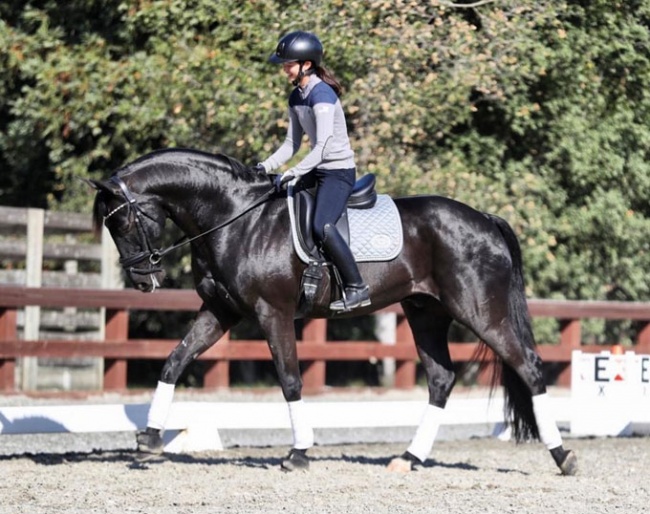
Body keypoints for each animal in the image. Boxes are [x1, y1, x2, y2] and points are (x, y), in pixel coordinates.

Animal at [88, 147, 576, 472]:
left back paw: (563, 457)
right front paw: (149, 437)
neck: (234, 218)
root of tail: (484, 220)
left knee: (529, 367)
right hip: (426, 312)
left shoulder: (273, 313)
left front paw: (299, 453)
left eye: (124, 220)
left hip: (479, 312)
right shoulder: (219, 312)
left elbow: (290, 380)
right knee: (441, 379)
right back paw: (408, 458)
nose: (142, 280)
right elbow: (174, 361)